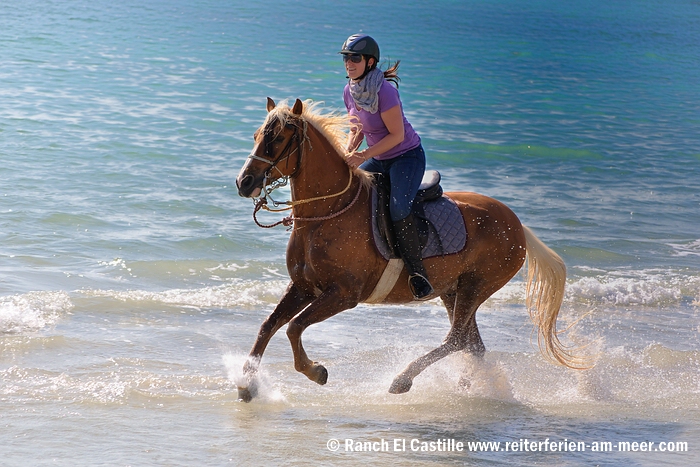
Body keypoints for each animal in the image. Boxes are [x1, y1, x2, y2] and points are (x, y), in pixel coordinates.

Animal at [234, 98, 580, 402]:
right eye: (256, 136)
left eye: (278, 139)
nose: (244, 182)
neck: (328, 212)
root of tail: (516, 223)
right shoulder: (303, 287)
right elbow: (268, 326)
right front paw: (246, 385)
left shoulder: (343, 294)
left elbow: (294, 327)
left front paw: (315, 371)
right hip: (452, 290)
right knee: (471, 344)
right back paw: (469, 387)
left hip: (476, 285)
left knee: (456, 338)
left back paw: (403, 380)